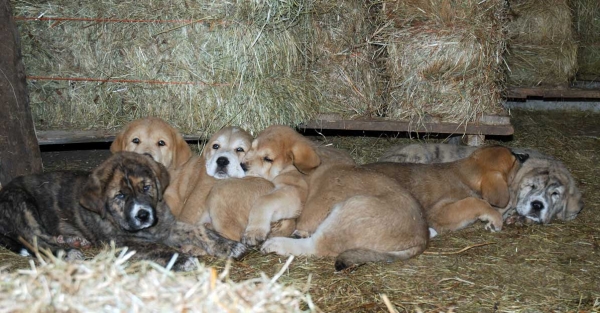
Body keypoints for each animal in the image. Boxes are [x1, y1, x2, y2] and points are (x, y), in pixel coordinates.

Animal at [0, 152, 246, 270]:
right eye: (120, 196)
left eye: (146, 187)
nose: (143, 215)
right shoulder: (120, 241)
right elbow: (154, 247)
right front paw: (182, 260)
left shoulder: (166, 226)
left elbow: (198, 230)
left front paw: (229, 245)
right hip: (22, 204)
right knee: (36, 241)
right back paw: (68, 251)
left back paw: (72, 240)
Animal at [246, 125, 428, 270]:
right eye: (250, 148)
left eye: (267, 158)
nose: (242, 165)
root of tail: (422, 237)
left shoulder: (293, 194)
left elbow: (264, 201)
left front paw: (254, 231)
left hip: (353, 208)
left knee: (316, 246)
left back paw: (276, 243)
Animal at [364, 146, 528, 232]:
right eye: (514, 160)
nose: (525, 155)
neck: (465, 175)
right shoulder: (438, 211)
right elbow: (474, 202)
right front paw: (495, 219)